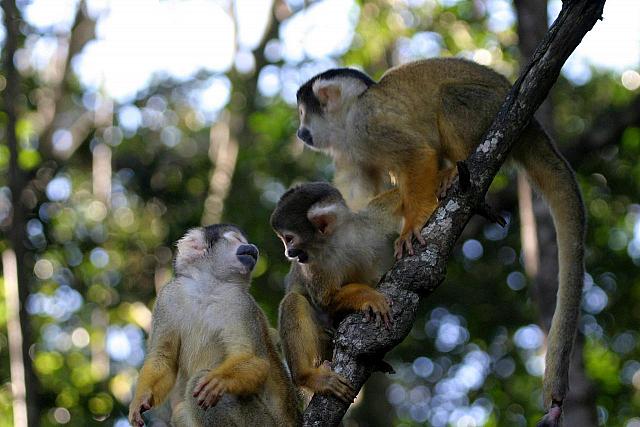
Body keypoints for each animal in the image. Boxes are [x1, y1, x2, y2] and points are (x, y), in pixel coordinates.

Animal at [128, 224, 300, 427]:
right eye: (237, 239)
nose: (253, 247)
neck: (209, 288)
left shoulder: (241, 303)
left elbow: (255, 360)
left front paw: (220, 380)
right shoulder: (168, 297)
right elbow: (162, 357)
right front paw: (140, 399)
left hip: (262, 422)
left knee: (198, 384)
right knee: (180, 412)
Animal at [270, 182, 401, 404]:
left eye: (289, 239)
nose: (289, 253)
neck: (337, 242)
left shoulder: (368, 224)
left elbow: (400, 199)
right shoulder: (314, 263)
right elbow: (326, 300)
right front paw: (368, 296)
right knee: (294, 300)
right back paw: (308, 377)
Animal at [295, 58, 585, 426]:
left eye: (303, 114)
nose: (300, 133)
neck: (349, 118)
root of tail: (532, 121)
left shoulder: (367, 123)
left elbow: (416, 154)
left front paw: (413, 224)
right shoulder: (352, 151)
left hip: (492, 107)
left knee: (452, 99)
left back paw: (462, 171)